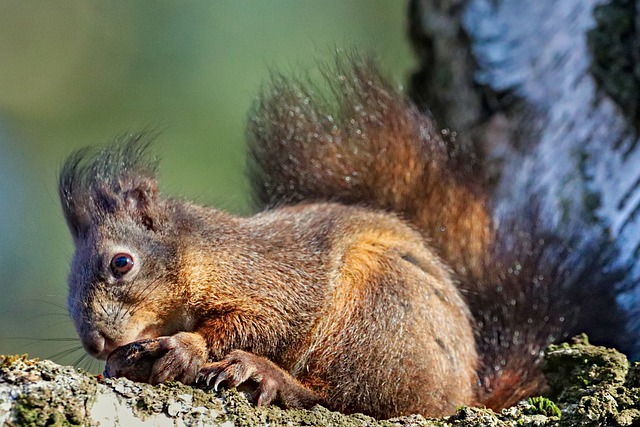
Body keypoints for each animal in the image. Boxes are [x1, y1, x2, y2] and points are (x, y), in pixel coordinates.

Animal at [57, 56, 612, 418]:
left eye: (121, 263)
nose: (97, 343)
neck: (204, 255)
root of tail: (462, 393)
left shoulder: (274, 278)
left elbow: (263, 323)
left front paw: (185, 346)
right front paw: (127, 362)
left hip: (379, 315)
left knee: (349, 398)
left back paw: (269, 377)